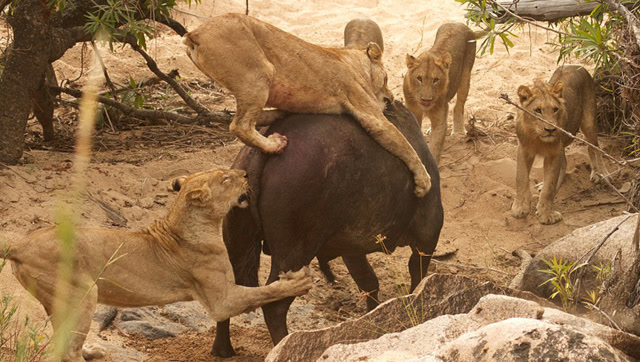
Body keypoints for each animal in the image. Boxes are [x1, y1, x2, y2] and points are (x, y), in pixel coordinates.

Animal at [2, 168, 312, 360]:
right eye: (225, 178)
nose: (246, 173)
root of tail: (18, 244)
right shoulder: (221, 300)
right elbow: (264, 291)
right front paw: (298, 281)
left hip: (58, 300)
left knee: (62, 341)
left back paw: (93, 352)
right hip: (82, 292)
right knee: (67, 350)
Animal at [212, 99, 442, 356]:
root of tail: (263, 150)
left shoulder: (352, 250)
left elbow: (369, 284)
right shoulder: (427, 240)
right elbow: (415, 280)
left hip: (238, 240)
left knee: (226, 296)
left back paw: (223, 349)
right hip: (295, 255)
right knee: (275, 307)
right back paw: (282, 344)